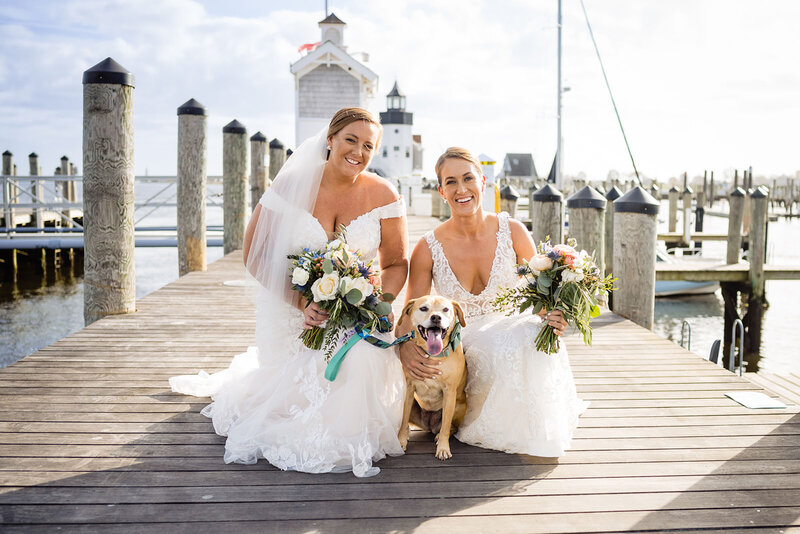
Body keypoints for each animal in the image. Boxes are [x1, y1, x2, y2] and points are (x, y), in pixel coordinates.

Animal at [396, 298, 466, 460]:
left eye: (445, 309)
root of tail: (430, 425)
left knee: (451, 427)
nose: (436, 318)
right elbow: (403, 418)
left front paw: (443, 448)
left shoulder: (449, 392)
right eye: (423, 308)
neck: (433, 355)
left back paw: (439, 435)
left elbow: (446, 425)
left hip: (458, 406)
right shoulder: (409, 388)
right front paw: (401, 441)